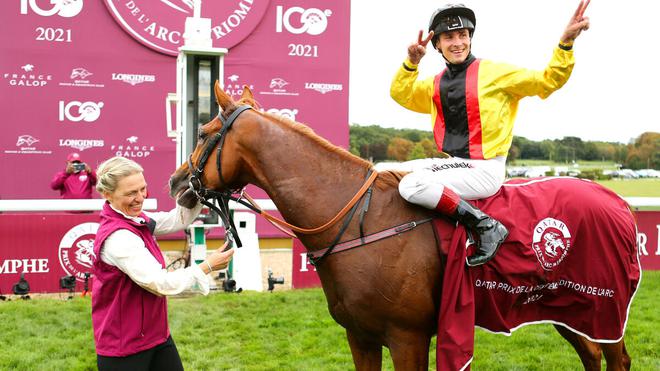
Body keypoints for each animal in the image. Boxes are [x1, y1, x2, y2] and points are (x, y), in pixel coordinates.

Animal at [170, 82, 640, 371]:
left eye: (203, 131)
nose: (176, 182)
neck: (357, 222)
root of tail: (618, 202)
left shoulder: (407, 337)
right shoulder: (360, 336)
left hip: (604, 307)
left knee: (615, 359)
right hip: (566, 308)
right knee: (590, 355)